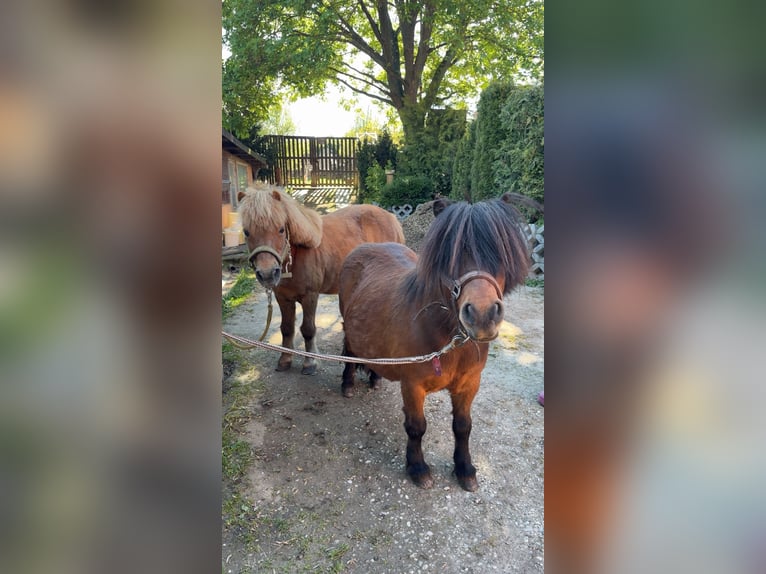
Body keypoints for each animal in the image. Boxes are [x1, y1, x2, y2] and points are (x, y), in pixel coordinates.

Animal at [237, 183, 404, 374]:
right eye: (246, 232)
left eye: (281, 229)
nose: (267, 273)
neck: (295, 258)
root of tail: (392, 218)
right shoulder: (283, 297)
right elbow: (287, 328)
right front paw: (285, 360)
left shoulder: (310, 296)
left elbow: (308, 329)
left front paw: (310, 363)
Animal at [338, 193, 530, 491]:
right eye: (451, 256)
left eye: (501, 253)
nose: (483, 315)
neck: (449, 340)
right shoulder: (412, 386)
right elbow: (416, 427)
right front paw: (418, 468)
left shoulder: (469, 384)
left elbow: (463, 426)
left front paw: (465, 469)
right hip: (347, 325)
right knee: (349, 349)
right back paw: (347, 384)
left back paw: (375, 377)